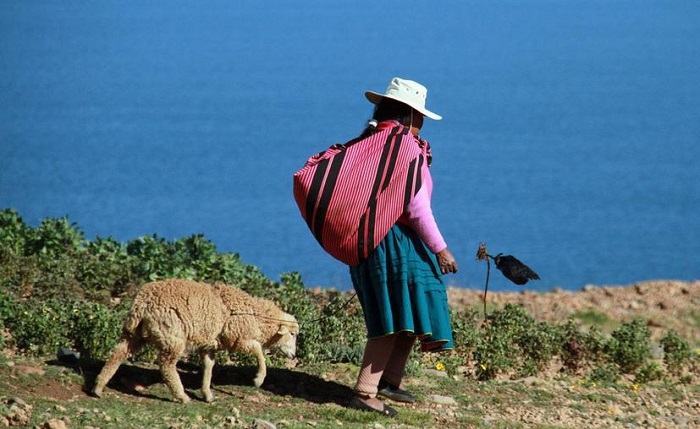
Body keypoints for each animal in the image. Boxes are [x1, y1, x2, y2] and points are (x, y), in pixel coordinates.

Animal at [90, 278, 298, 402]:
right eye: (293, 334)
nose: (294, 354)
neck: (255, 315)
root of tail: (142, 303)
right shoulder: (239, 338)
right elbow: (259, 351)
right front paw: (259, 379)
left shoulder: (209, 345)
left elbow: (208, 367)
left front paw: (207, 394)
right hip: (172, 336)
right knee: (166, 366)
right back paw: (181, 396)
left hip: (134, 334)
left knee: (117, 354)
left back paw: (98, 387)